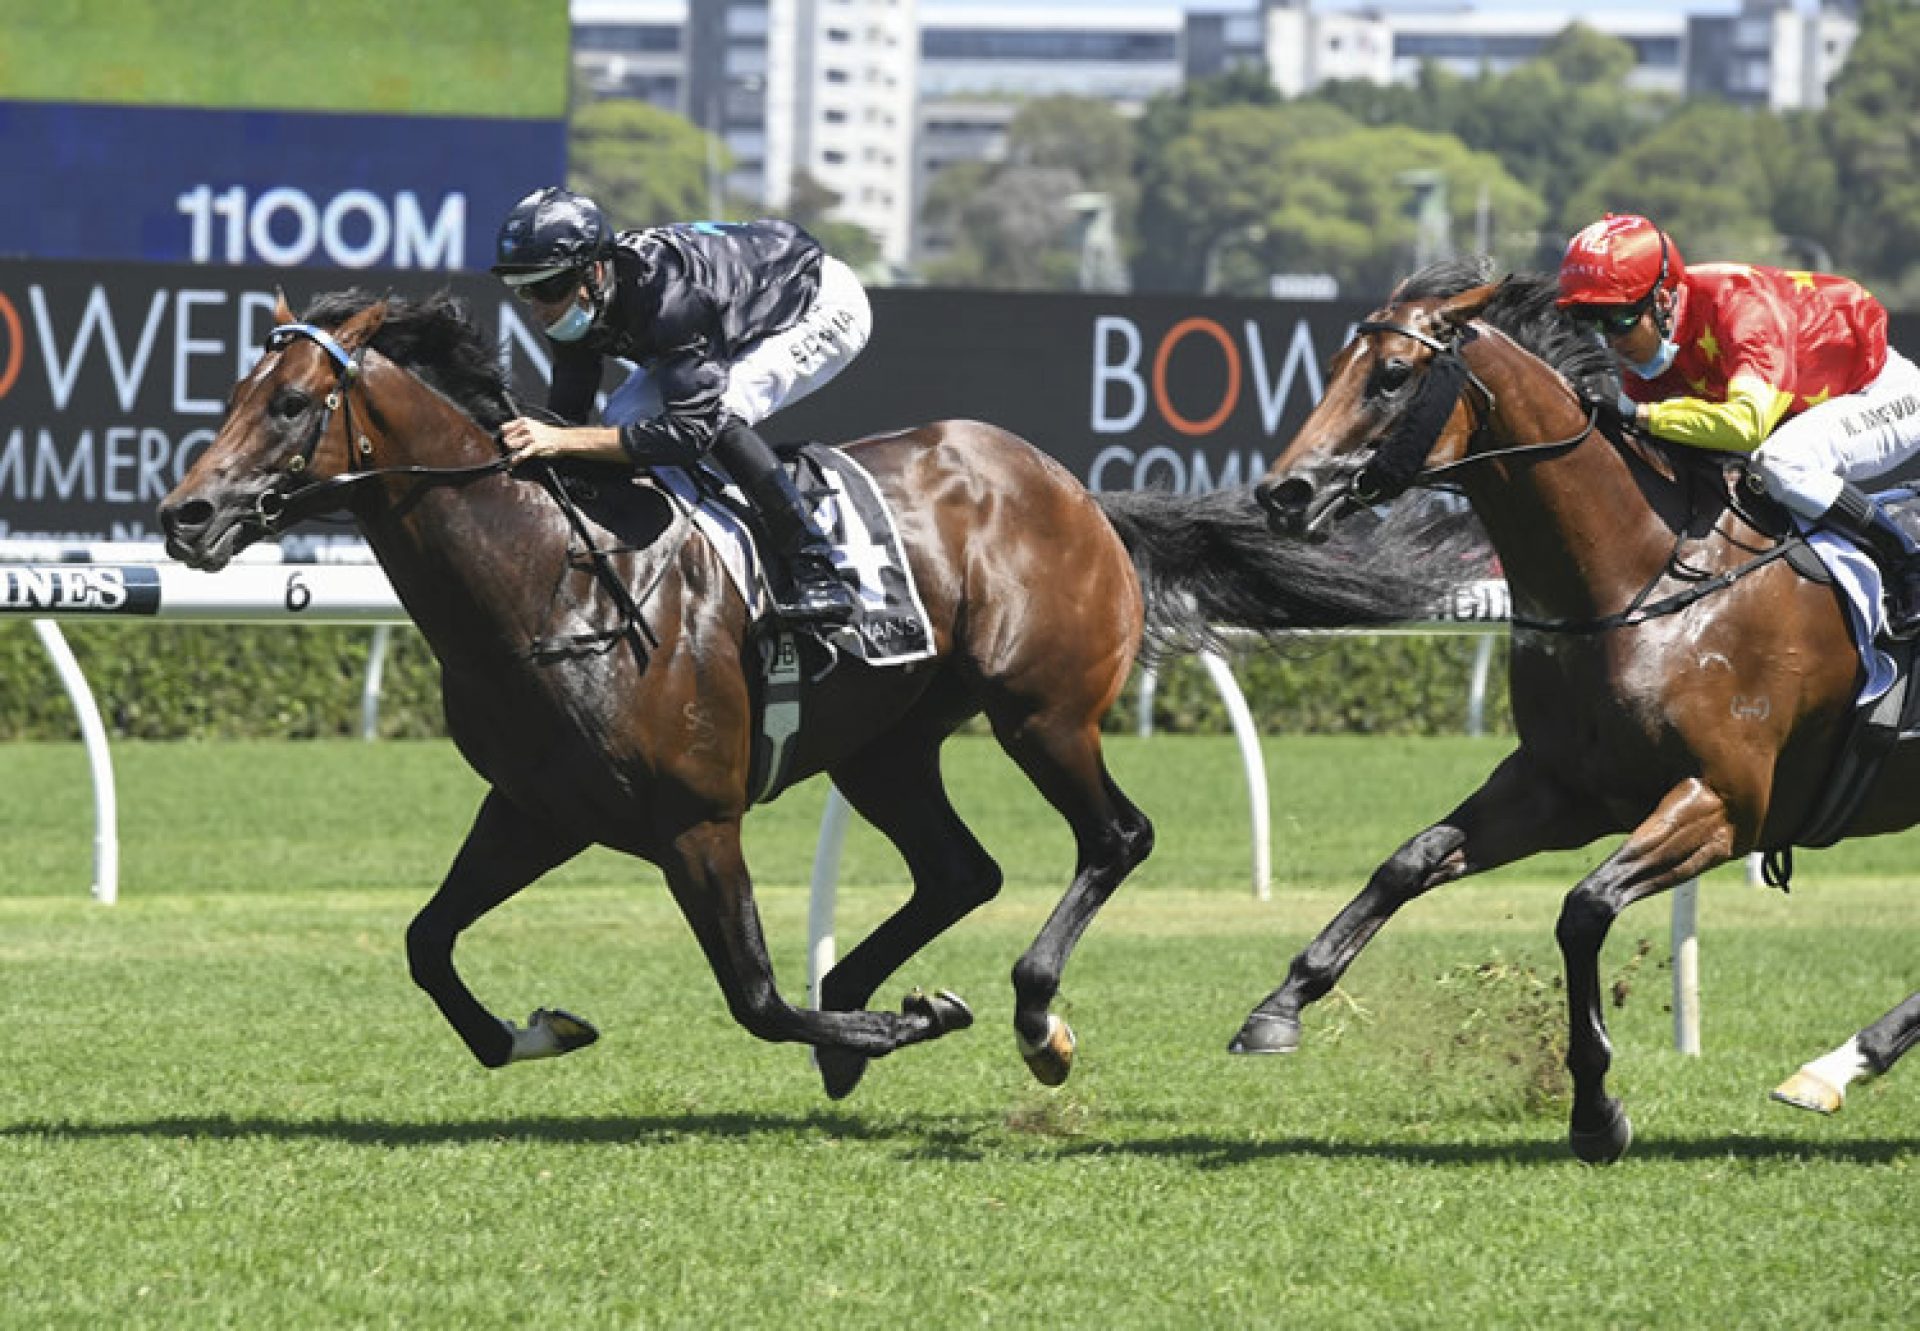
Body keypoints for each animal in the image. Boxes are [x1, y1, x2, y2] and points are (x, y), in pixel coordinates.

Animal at [165, 290, 1443, 1098]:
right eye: (232, 390)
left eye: (290, 404)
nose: (186, 514)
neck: (550, 579)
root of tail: (1078, 490)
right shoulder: (537, 807)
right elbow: (428, 941)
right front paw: (535, 1030)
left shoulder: (695, 817)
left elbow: (757, 995)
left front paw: (908, 1019)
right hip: (887, 743)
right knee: (960, 869)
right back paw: (873, 1009)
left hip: (1040, 710)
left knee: (1113, 836)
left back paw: (1030, 1016)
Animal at [1251, 259, 1912, 1160]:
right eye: (1329, 369)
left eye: (1390, 375)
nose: (1282, 493)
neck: (1640, 577)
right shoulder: (1561, 786)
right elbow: (1410, 861)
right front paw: (1280, 1003)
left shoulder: (1727, 802)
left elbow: (1584, 908)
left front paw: (1596, 1107)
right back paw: (1839, 1064)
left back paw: (1837, 1064)